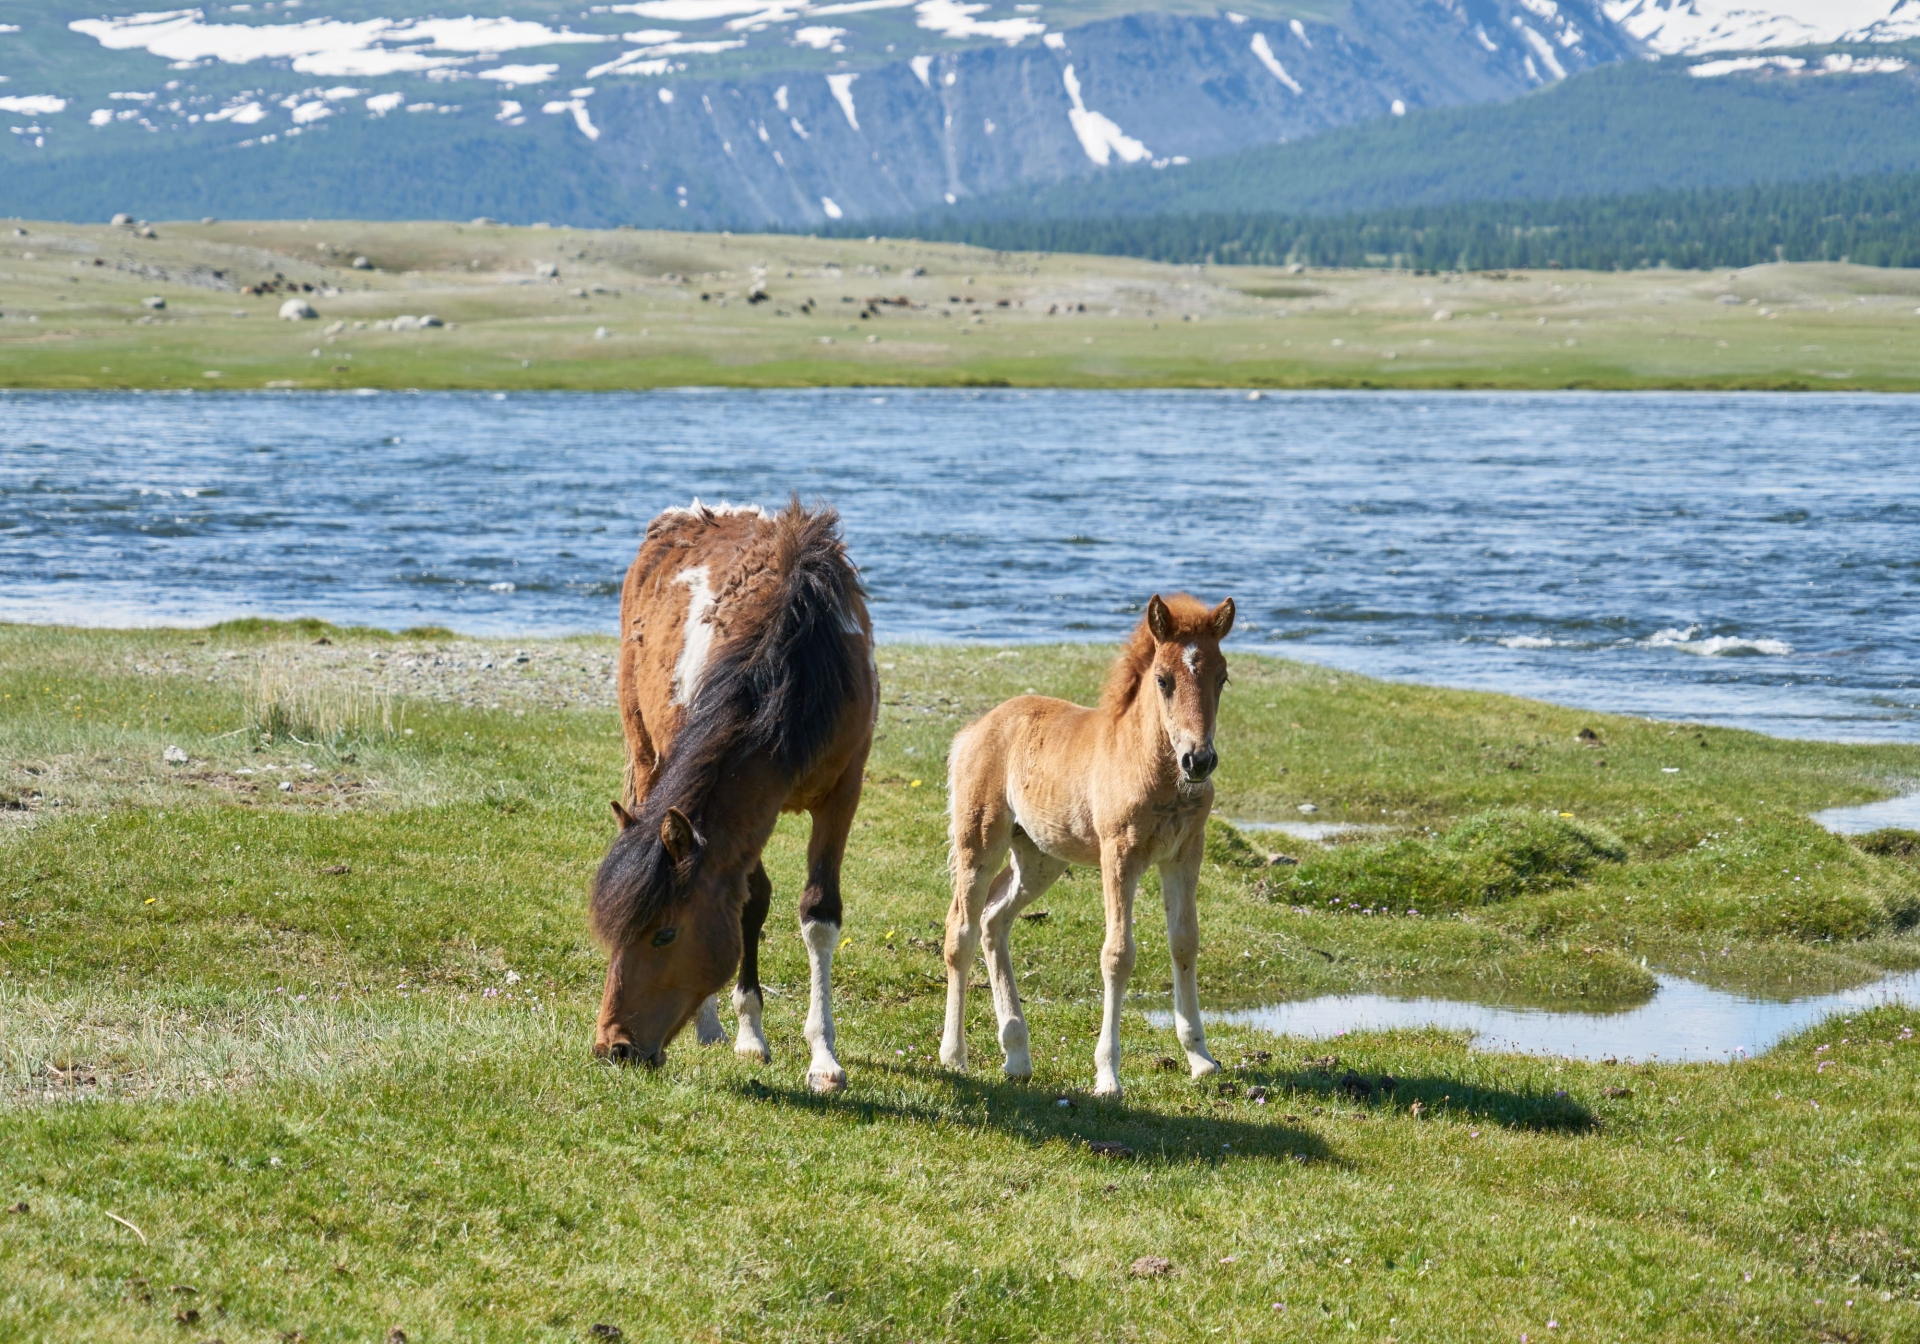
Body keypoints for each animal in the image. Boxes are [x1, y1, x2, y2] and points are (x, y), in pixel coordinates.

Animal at [589, 498, 876, 1093]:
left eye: (664, 935)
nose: (614, 1048)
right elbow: (748, 900)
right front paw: (748, 1032)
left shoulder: (844, 791)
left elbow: (819, 913)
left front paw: (824, 1057)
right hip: (648, 756)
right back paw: (715, 1025)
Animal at [941, 593, 1235, 1097]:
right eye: (1163, 679)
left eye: (1222, 677)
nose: (1198, 760)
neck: (1151, 766)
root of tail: (973, 731)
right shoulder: (1119, 855)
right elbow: (1117, 954)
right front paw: (1108, 1076)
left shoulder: (1184, 853)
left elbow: (1184, 942)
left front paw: (1201, 1058)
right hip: (979, 842)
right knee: (959, 928)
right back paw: (954, 1056)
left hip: (1039, 858)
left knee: (993, 919)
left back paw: (1016, 1054)